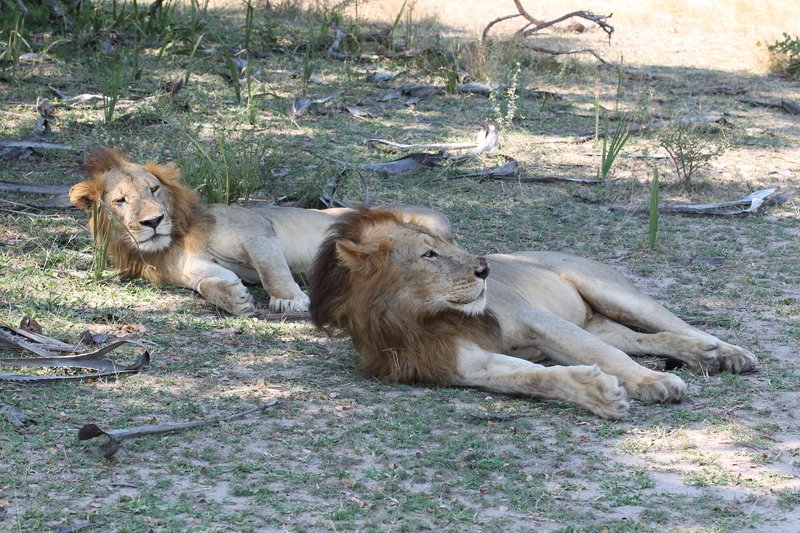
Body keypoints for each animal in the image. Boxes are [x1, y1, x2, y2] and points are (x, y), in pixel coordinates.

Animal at [69, 149, 450, 316]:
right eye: (120, 200)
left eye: (154, 190)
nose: (153, 222)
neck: (178, 233)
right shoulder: (180, 265)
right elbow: (204, 280)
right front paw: (232, 298)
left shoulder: (256, 230)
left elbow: (271, 269)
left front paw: (290, 299)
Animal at [309, 207, 758, 418]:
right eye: (429, 254)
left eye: (448, 244)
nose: (484, 268)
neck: (421, 318)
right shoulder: (460, 362)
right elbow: (531, 378)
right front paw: (597, 394)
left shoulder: (535, 319)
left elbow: (604, 357)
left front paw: (654, 382)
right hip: (600, 322)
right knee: (645, 339)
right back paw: (704, 356)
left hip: (616, 294)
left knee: (675, 325)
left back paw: (729, 354)